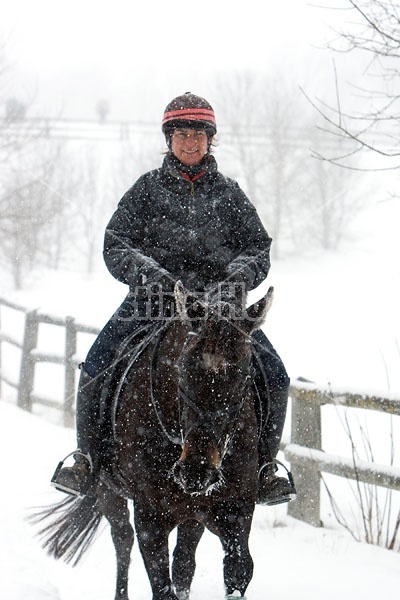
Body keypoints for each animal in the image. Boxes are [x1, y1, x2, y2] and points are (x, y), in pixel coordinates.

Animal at [34, 282, 274, 600]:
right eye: (182, 371)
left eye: (245, 377)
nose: (196, 472)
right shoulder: (151, 520)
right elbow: (160, 583)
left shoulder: (235, 515)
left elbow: (237, 571)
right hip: (108, 490)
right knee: (123, 542)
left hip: (192, 515)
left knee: (184, 558)